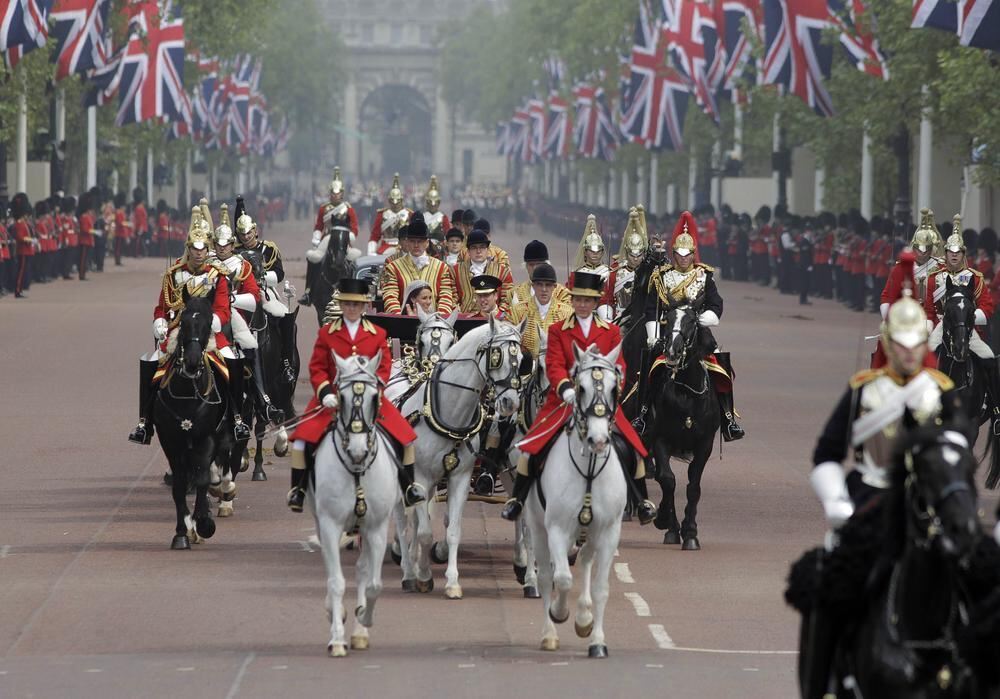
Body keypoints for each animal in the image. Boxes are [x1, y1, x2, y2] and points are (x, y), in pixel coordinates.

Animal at [153, 292, 233, 548]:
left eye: (208, 324)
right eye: (184, 322)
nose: (192, 361)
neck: (187, 393)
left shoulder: (205, 438)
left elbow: (203, 479)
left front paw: (204, 523)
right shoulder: (171, 441)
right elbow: (180, 485)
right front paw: (182, 531)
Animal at [314, 356, 396, 656]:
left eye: (374, 397)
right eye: (342, 396)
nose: (358, 451)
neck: (357, 470)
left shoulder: (377, 527)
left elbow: (374, 583)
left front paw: (364, 617)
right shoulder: (329, 524)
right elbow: (336, 581)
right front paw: (337, 637)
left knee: (362, 568)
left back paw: (359, 630)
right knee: (331, 570)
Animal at [396, 320, 524, 600]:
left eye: (522, 359)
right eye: (496, 356)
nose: (510, 403)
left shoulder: (460, 477)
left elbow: (452, 530)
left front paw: (452, 582)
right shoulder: (420, 477)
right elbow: (424, 531)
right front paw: (424, 576)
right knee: (403, 519)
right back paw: (407, 568)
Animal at [524, 348, 624, 660]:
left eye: (614, 388)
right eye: (580, 388)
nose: (598, 440)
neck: (589, 470)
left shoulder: (609, 532)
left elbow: (601, 587)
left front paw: (597, 640)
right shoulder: (556, 529)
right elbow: (562, 578)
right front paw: (559, 613)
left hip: (590, 534)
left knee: (586, 562)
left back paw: (584, 617)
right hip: (538, 527)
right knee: (547, 576)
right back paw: (550, 633)